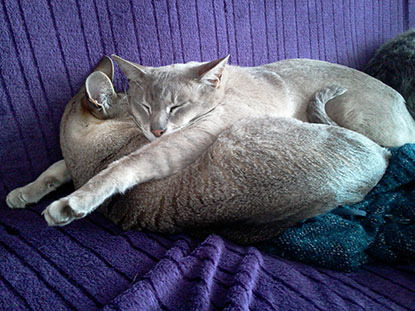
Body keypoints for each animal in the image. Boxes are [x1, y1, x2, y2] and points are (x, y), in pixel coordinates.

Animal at [4, 57, 392, 245]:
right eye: (142, 107)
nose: (156, 129)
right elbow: (54, 168)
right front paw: (21, 195)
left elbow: (110, 169)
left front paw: (67, 202)